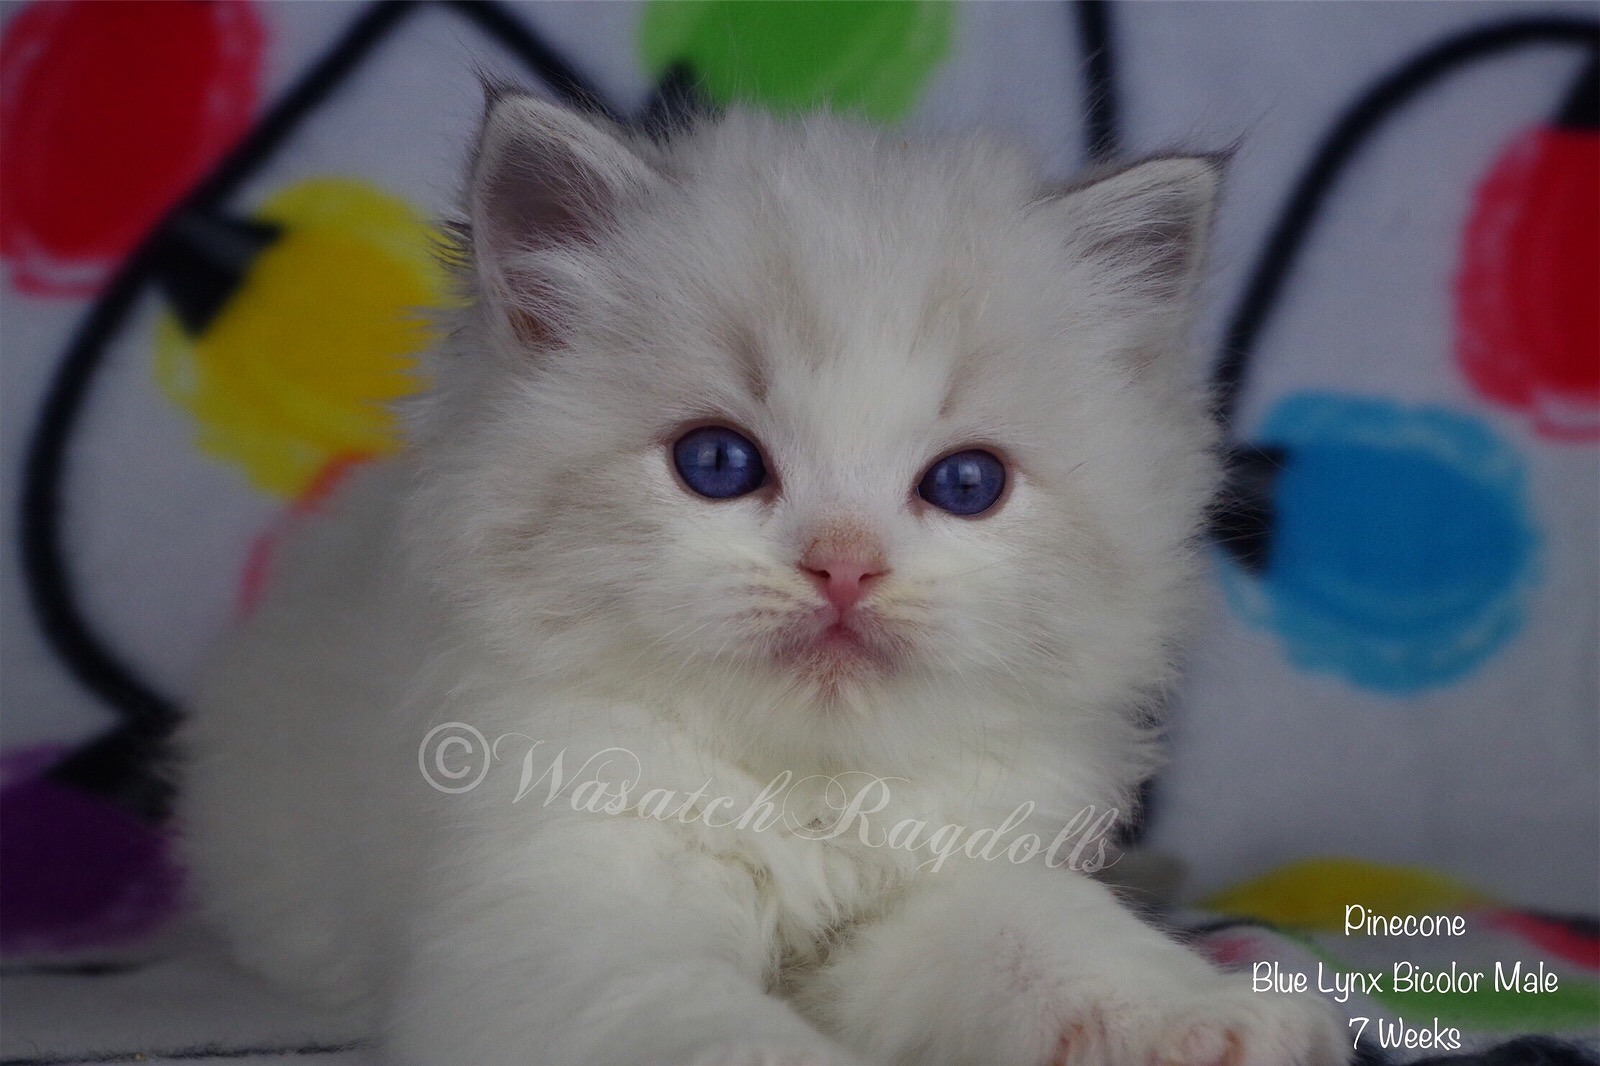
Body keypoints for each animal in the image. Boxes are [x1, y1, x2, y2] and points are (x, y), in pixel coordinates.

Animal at [179, 88, 1349, 1066]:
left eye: (966, 483)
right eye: (717, 464)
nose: (845, 566)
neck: (806, 797)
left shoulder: (943, 889)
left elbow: (1067, 944)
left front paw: (1208, 1016)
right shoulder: (559, 928)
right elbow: (719, 1033)